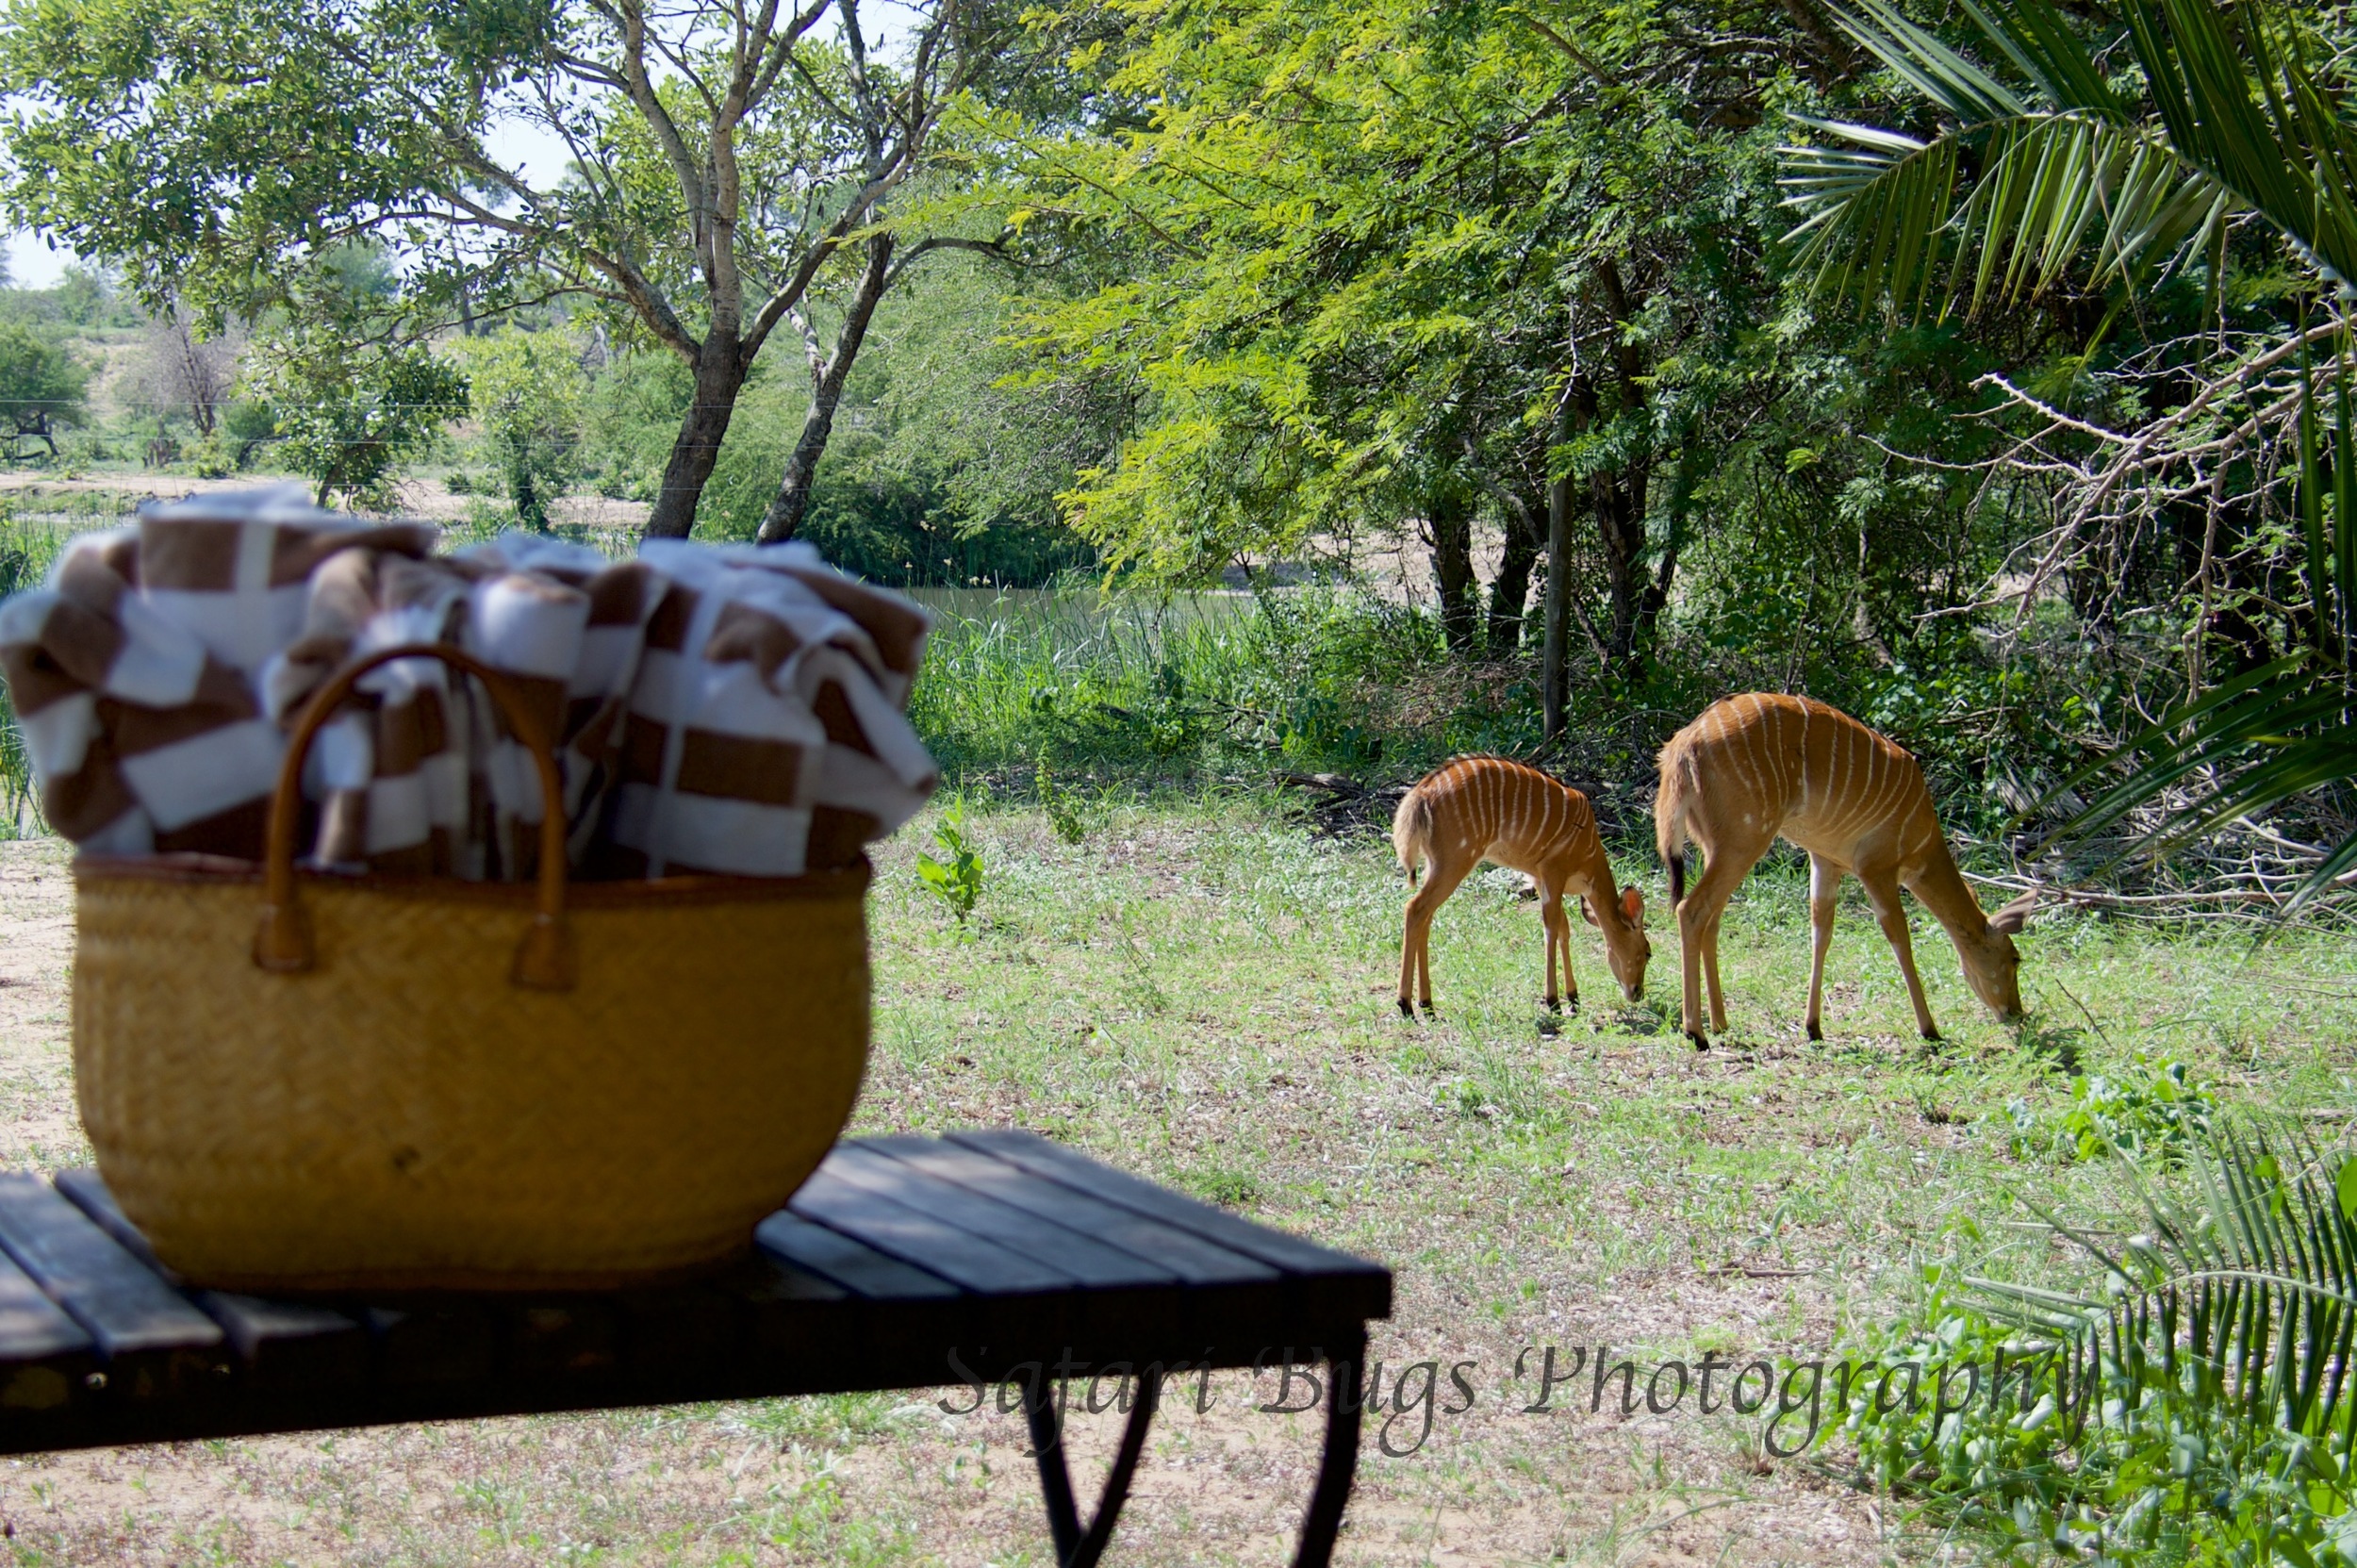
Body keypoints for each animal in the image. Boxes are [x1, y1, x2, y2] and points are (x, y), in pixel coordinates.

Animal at [1386, 754, 1650, 1014]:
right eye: (1647, 952)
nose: (1637, 993)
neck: (1589, 851)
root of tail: (1421, 794)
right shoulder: (1553, 870)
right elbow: (1551, 928)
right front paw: (1553, 1000)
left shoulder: (1538, 877)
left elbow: (1564, 929)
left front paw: (1573, 997)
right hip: (1455, 861)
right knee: (1414, 908)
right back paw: (1405, 1003)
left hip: (1435, 864)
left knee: (1426, 917)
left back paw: (1426, 1003)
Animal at [1650, 693, 2036, 1047]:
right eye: (2015, 958)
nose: (2016, 1013)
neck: (1921, 841)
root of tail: (1681, 747)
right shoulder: (1876, 867)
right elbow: (1899, 937)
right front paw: (1930, 1030)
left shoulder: (1826, 860)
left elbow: (1821, 931)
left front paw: (1813, 1027)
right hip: (1744, 839)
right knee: (1691, 909)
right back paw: (1696, 1031)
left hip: (1715, 844)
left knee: (1711, 918)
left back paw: (1720, 1023)